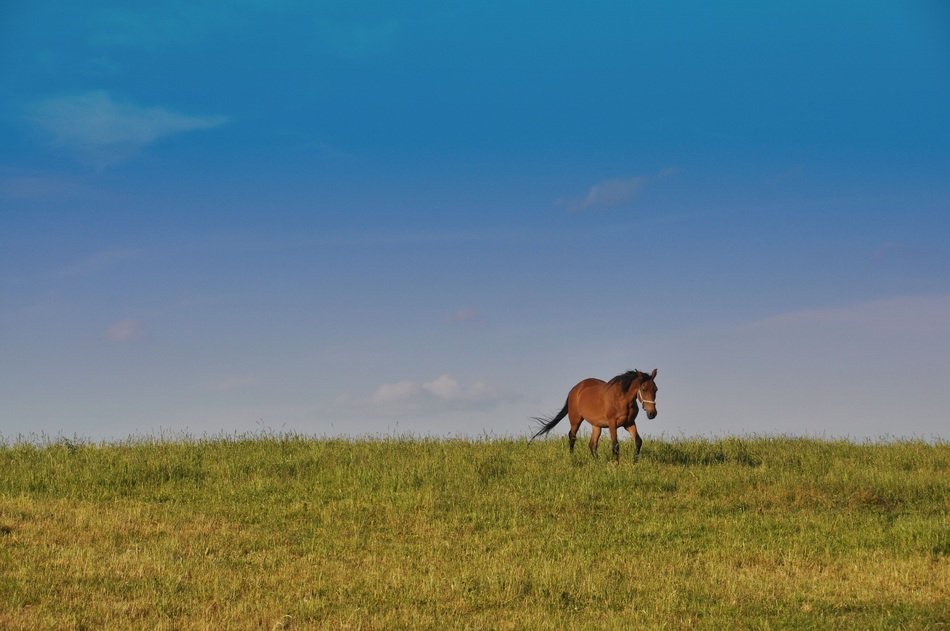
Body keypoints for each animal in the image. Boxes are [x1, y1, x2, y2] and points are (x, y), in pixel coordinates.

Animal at [530, 369, 658, 461]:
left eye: (656, 389)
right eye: (644, 388)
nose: (652, 413)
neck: (622, 399)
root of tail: (574, 390)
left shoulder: (629, 423)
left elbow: (638, 441)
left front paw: (634, 462)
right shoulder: (612, 424)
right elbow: (615, 445)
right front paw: (616, 465)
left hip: (596, 425)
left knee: (592, 444)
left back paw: (597, 462)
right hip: (575, 419)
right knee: (572, 437)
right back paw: (572, 458)